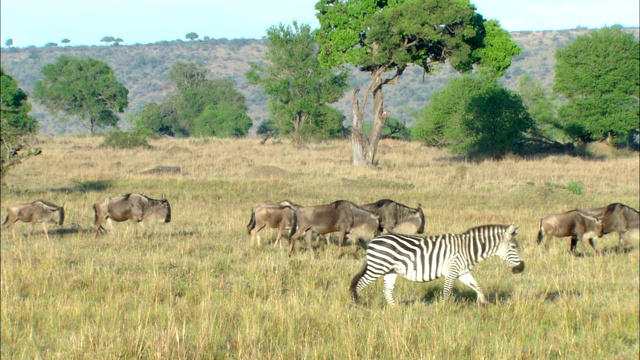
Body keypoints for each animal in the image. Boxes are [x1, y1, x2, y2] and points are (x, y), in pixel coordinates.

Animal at [350, 224, 524, 306]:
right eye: (513, 247)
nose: (521, 268)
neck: (468, 249)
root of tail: (374, 241)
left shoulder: (462, 272)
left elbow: (478, 287)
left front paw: (483, 305)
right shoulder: (452, 270)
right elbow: (446, 292)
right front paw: (442, 310)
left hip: (390, 270)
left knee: (386, 291)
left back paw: (396, 309)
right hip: (377, 267)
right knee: (359, 285)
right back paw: (358, 306)